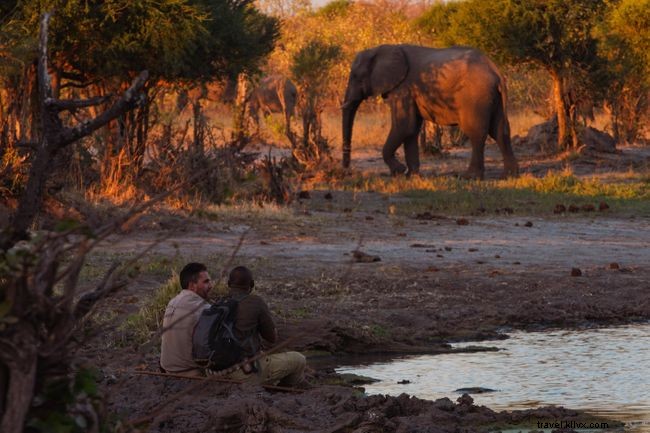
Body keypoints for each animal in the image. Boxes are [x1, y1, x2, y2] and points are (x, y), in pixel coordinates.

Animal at [341, 44, 519, 179]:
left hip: (475, 96)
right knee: (500, 132)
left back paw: (470, 177)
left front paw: (399, 171)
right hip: (493, 97)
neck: (381, 48)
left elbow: (403, 127)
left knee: (476, 133)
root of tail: (496, 72)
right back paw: (509, 176)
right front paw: (412, 176)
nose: (347, 171)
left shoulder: (403, 89)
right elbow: (411, 130)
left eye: (356, 76)